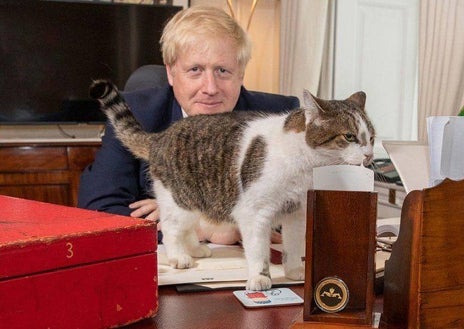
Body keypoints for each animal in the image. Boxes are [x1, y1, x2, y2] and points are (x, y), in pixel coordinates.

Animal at [89, 79, 376, 290]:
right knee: (169, 227)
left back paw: (196, 250)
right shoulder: (255, 214)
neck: (305, 167)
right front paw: (260, 278)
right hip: (180, 200)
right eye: (349, 137)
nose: (369, 155)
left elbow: (293, 247)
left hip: (196, 201)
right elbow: (258, 251)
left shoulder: (296, 213)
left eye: (371, 137)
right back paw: (179, 257)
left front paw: (295, 272)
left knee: (187, 228)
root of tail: (160, 136)